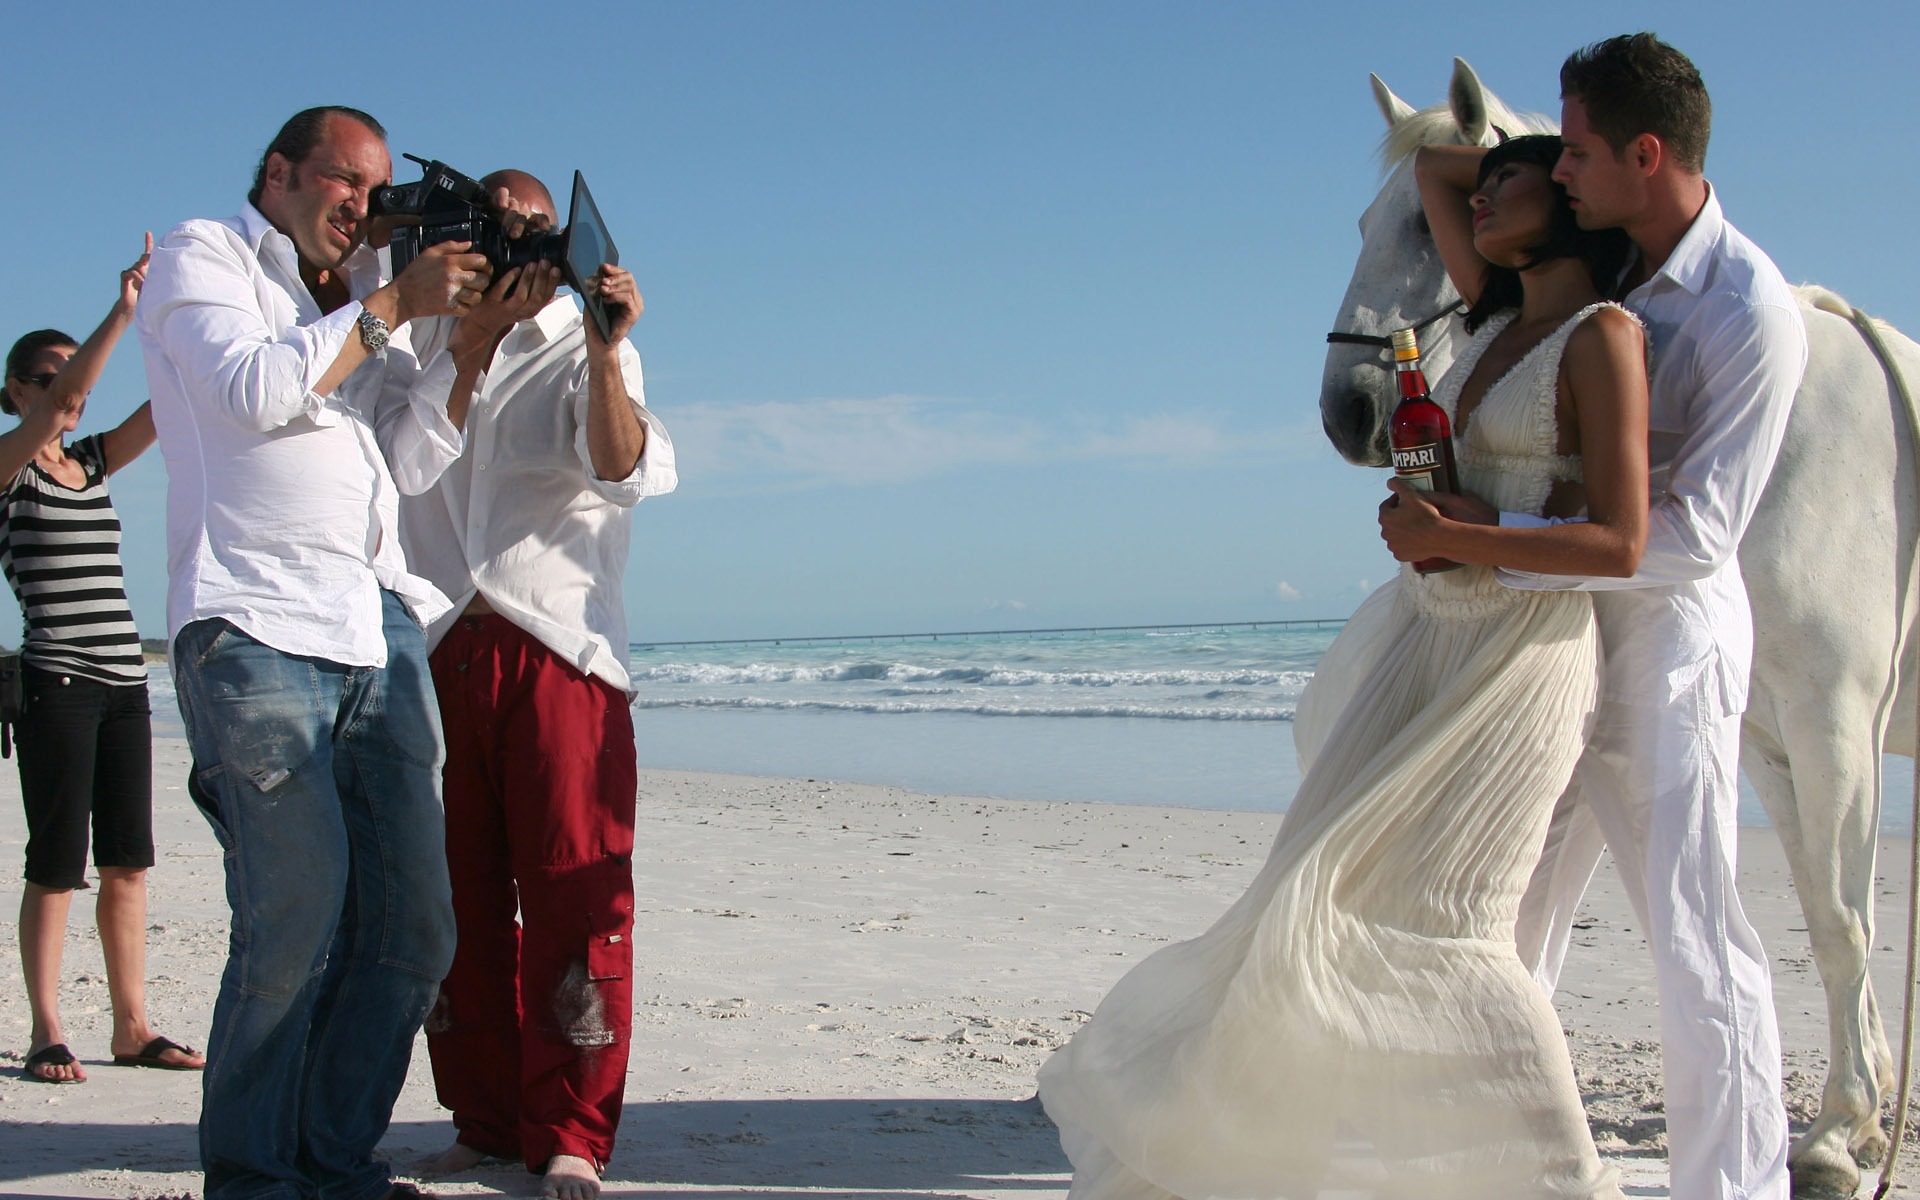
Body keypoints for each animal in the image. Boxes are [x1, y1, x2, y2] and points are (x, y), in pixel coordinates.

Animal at [1320, 60, 1920, 1198]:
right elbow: (1826, 911)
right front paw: (1861, 1120)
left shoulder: (1835, 721)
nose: (1349, 413)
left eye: (1428, 224)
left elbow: (1842, 918)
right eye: (1366, 219)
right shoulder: (1771, 735)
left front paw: (1835, 1136)